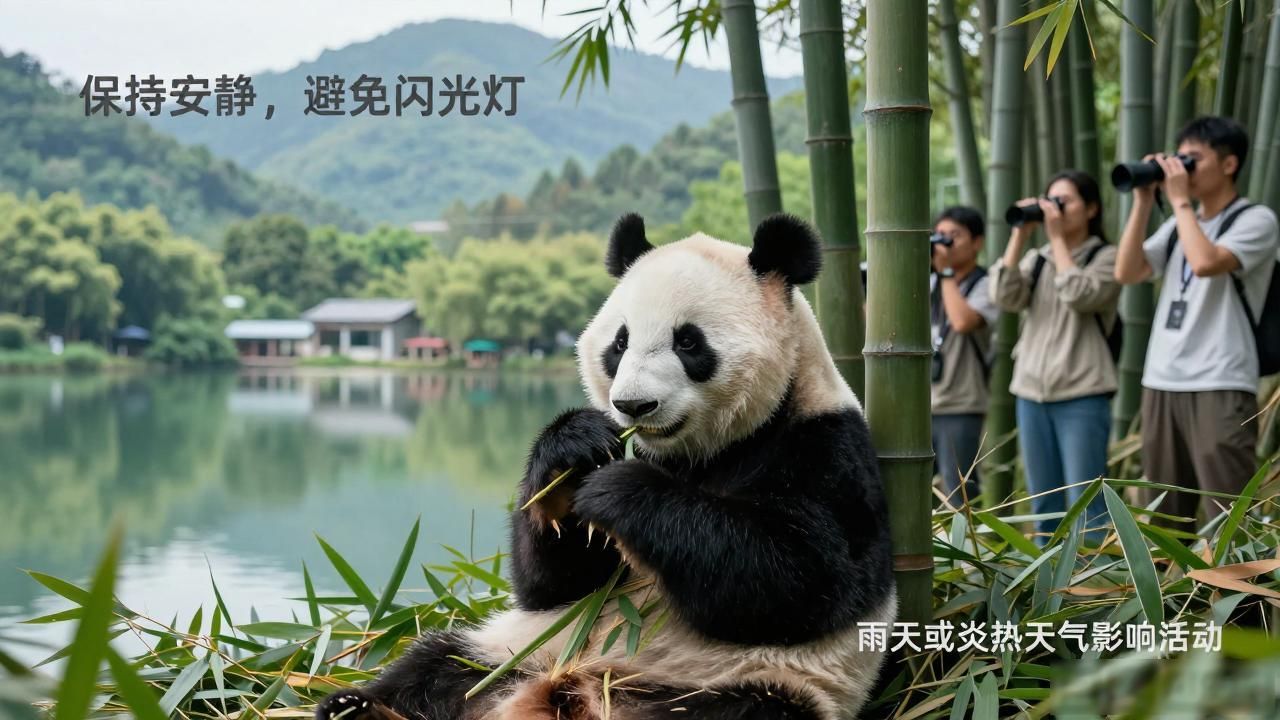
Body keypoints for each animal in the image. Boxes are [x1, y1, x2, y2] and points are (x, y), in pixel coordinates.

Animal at [315, 213, 897, 720]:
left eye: (689, 341)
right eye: (620, 343)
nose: (633, 406)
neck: (703, 453)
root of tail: (568, 691)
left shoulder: (826, 450)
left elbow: (801, 578)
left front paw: (621, 491)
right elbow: (553, 585)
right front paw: (575, 449)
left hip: (739, 684)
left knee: (743, 709)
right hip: (518, 650)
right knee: (438, 664)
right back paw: (357, 709)